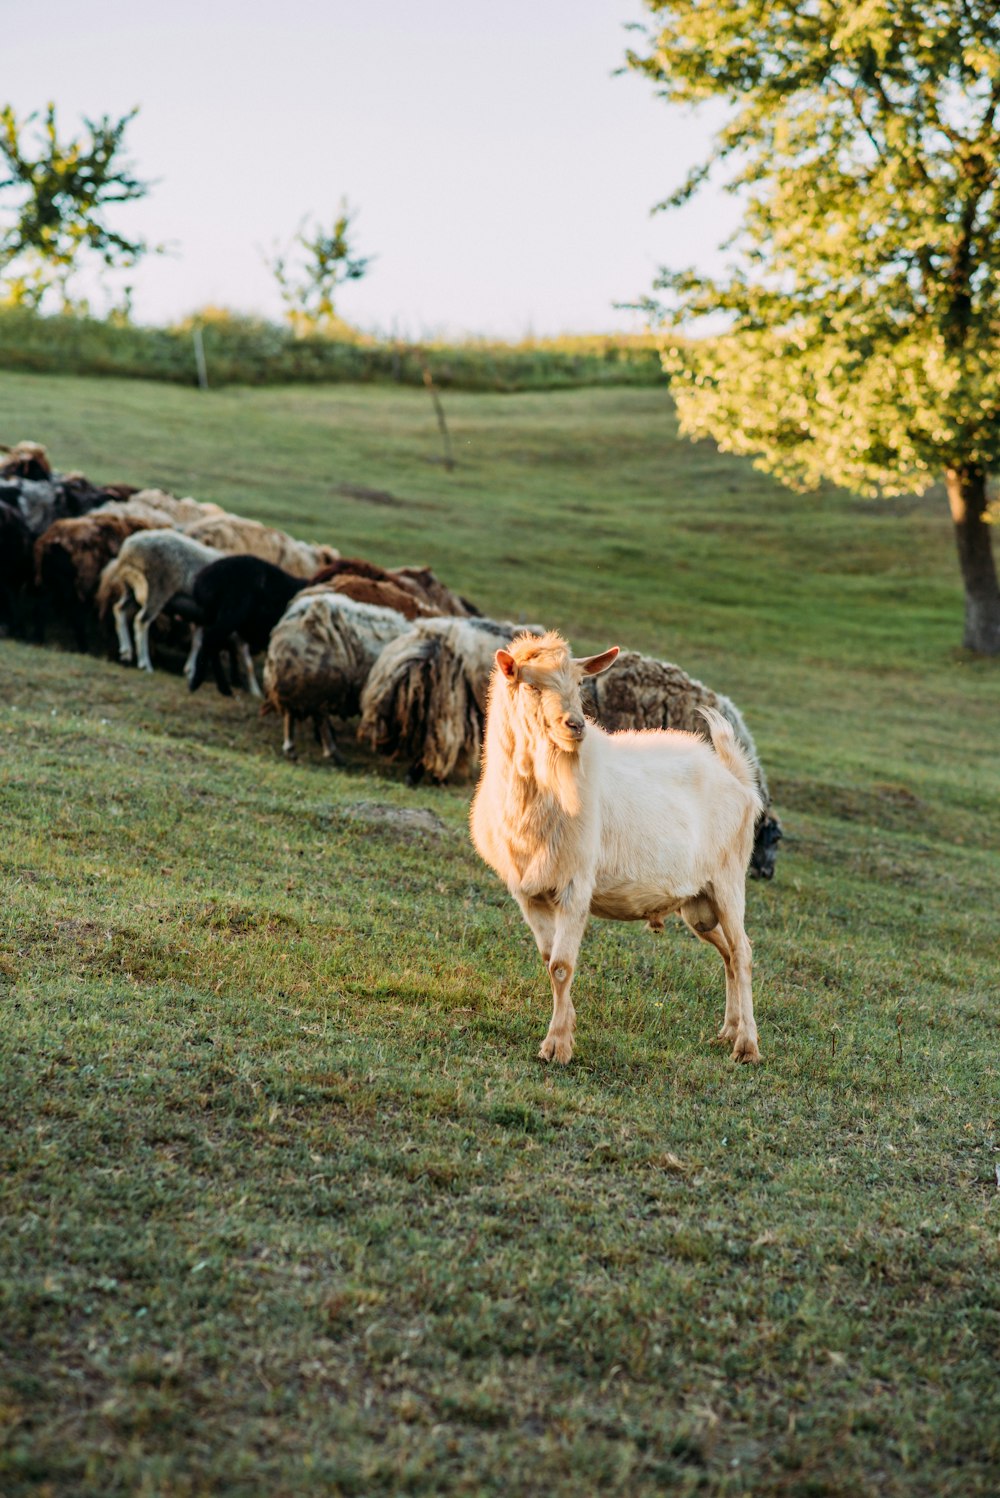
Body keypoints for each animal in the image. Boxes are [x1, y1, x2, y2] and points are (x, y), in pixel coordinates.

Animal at [94, 527, 224, 668]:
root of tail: (129, 550)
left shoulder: (201, 616)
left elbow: (198, 643)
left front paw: (190, 669)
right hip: (157, 590)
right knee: (141, 621)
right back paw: (145, 663)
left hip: (131, 588)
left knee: (119, 609)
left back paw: (126, 651)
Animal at [263, 587, 413, 760]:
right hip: (320, 685)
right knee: (319, 716)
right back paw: (332, 752)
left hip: (297, 683)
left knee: (290, 713)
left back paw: (291, 748)